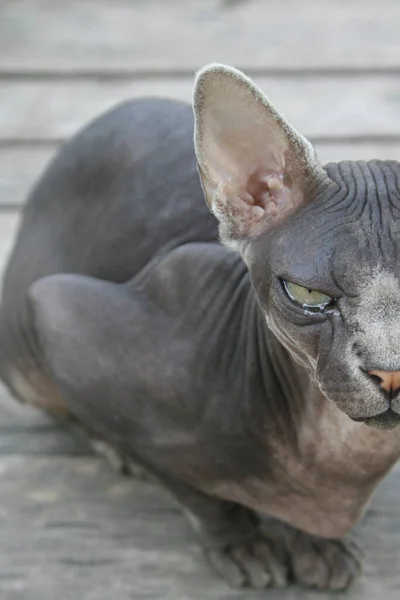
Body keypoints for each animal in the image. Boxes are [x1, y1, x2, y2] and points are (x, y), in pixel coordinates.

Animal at [0, 64, 400, 592]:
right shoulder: (62, 311)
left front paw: (314, 542)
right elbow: (195, 492)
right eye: (309, 295)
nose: (392, 373)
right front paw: (242, 543)